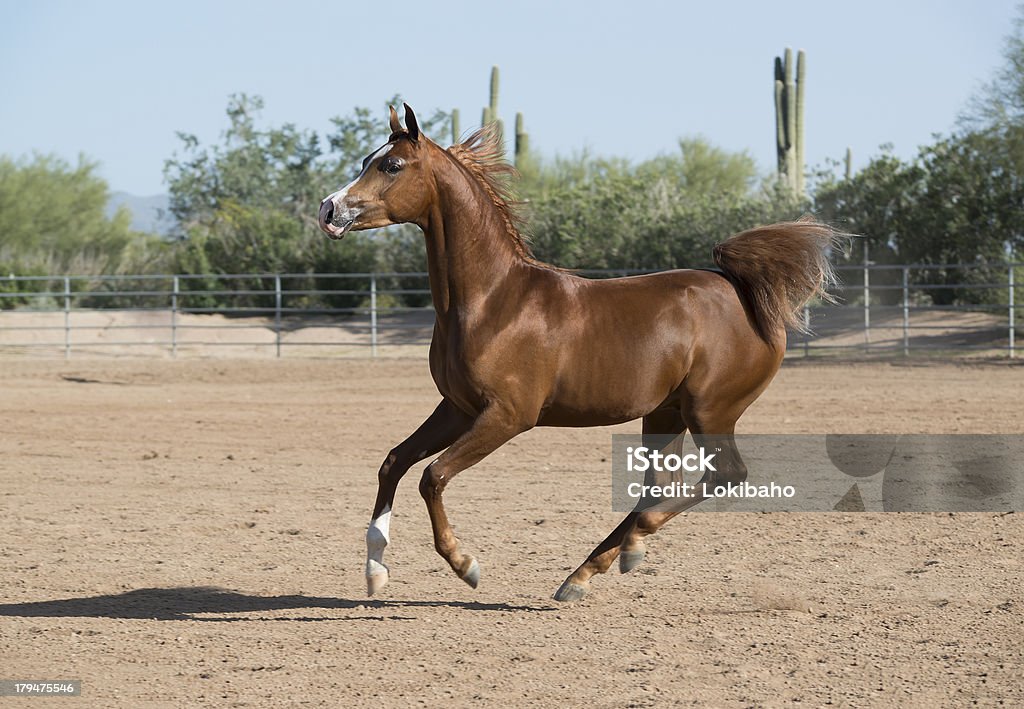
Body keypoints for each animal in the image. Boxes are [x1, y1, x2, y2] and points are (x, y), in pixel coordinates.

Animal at [319, 103, 839, 602]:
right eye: (366, 160)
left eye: (391, 165)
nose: (329, 209)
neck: (492, 300)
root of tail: (746, 294)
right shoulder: (457, 407)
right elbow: (394, 462)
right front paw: (375, 572)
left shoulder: (508, 415)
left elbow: (432, 476)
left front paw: (465, 564)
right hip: (665, 413)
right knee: (657, 489)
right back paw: (586, 573)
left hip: (710, 411)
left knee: (724, 475)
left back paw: (628, 547)